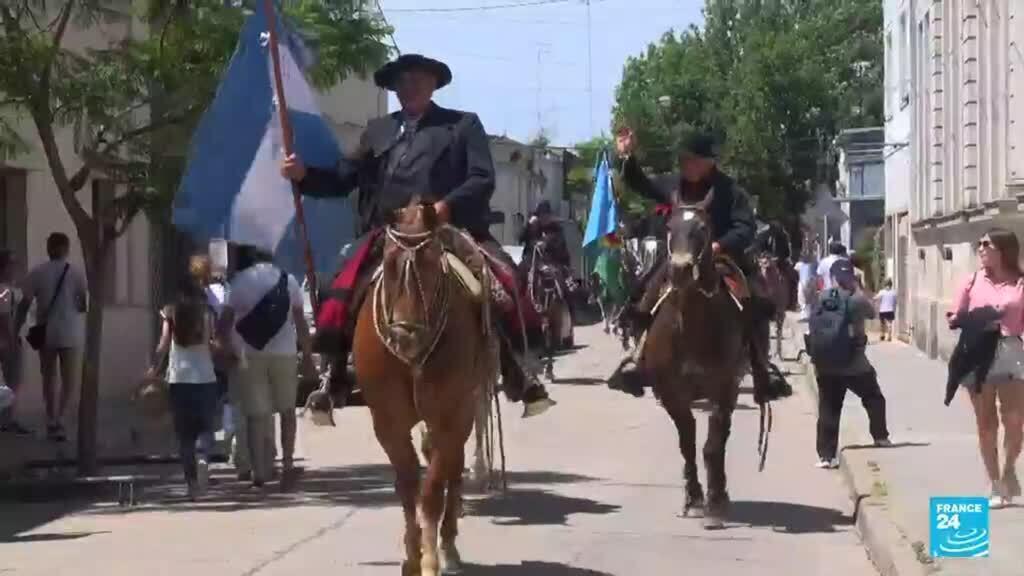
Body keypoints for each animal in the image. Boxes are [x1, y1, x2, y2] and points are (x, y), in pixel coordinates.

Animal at [352, 201, 495, 573]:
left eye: (431, 264)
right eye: (388, 263)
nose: (404, 336)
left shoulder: (448, 416)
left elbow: (431, 490)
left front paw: (430, 558)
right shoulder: (388, 423)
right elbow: (407, 485)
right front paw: (412, 554)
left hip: (467, 407)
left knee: (454, 467)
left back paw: (449, 545)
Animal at [643, 190, 749, 528]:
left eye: (702, 228)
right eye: (669, 226)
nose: (679, 269)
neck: (692, 328)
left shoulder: (724, 389)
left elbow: (713, 444)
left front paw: (714, 504)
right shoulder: (672, 394)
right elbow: (687, 441)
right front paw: (692, 499)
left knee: (722, 436)